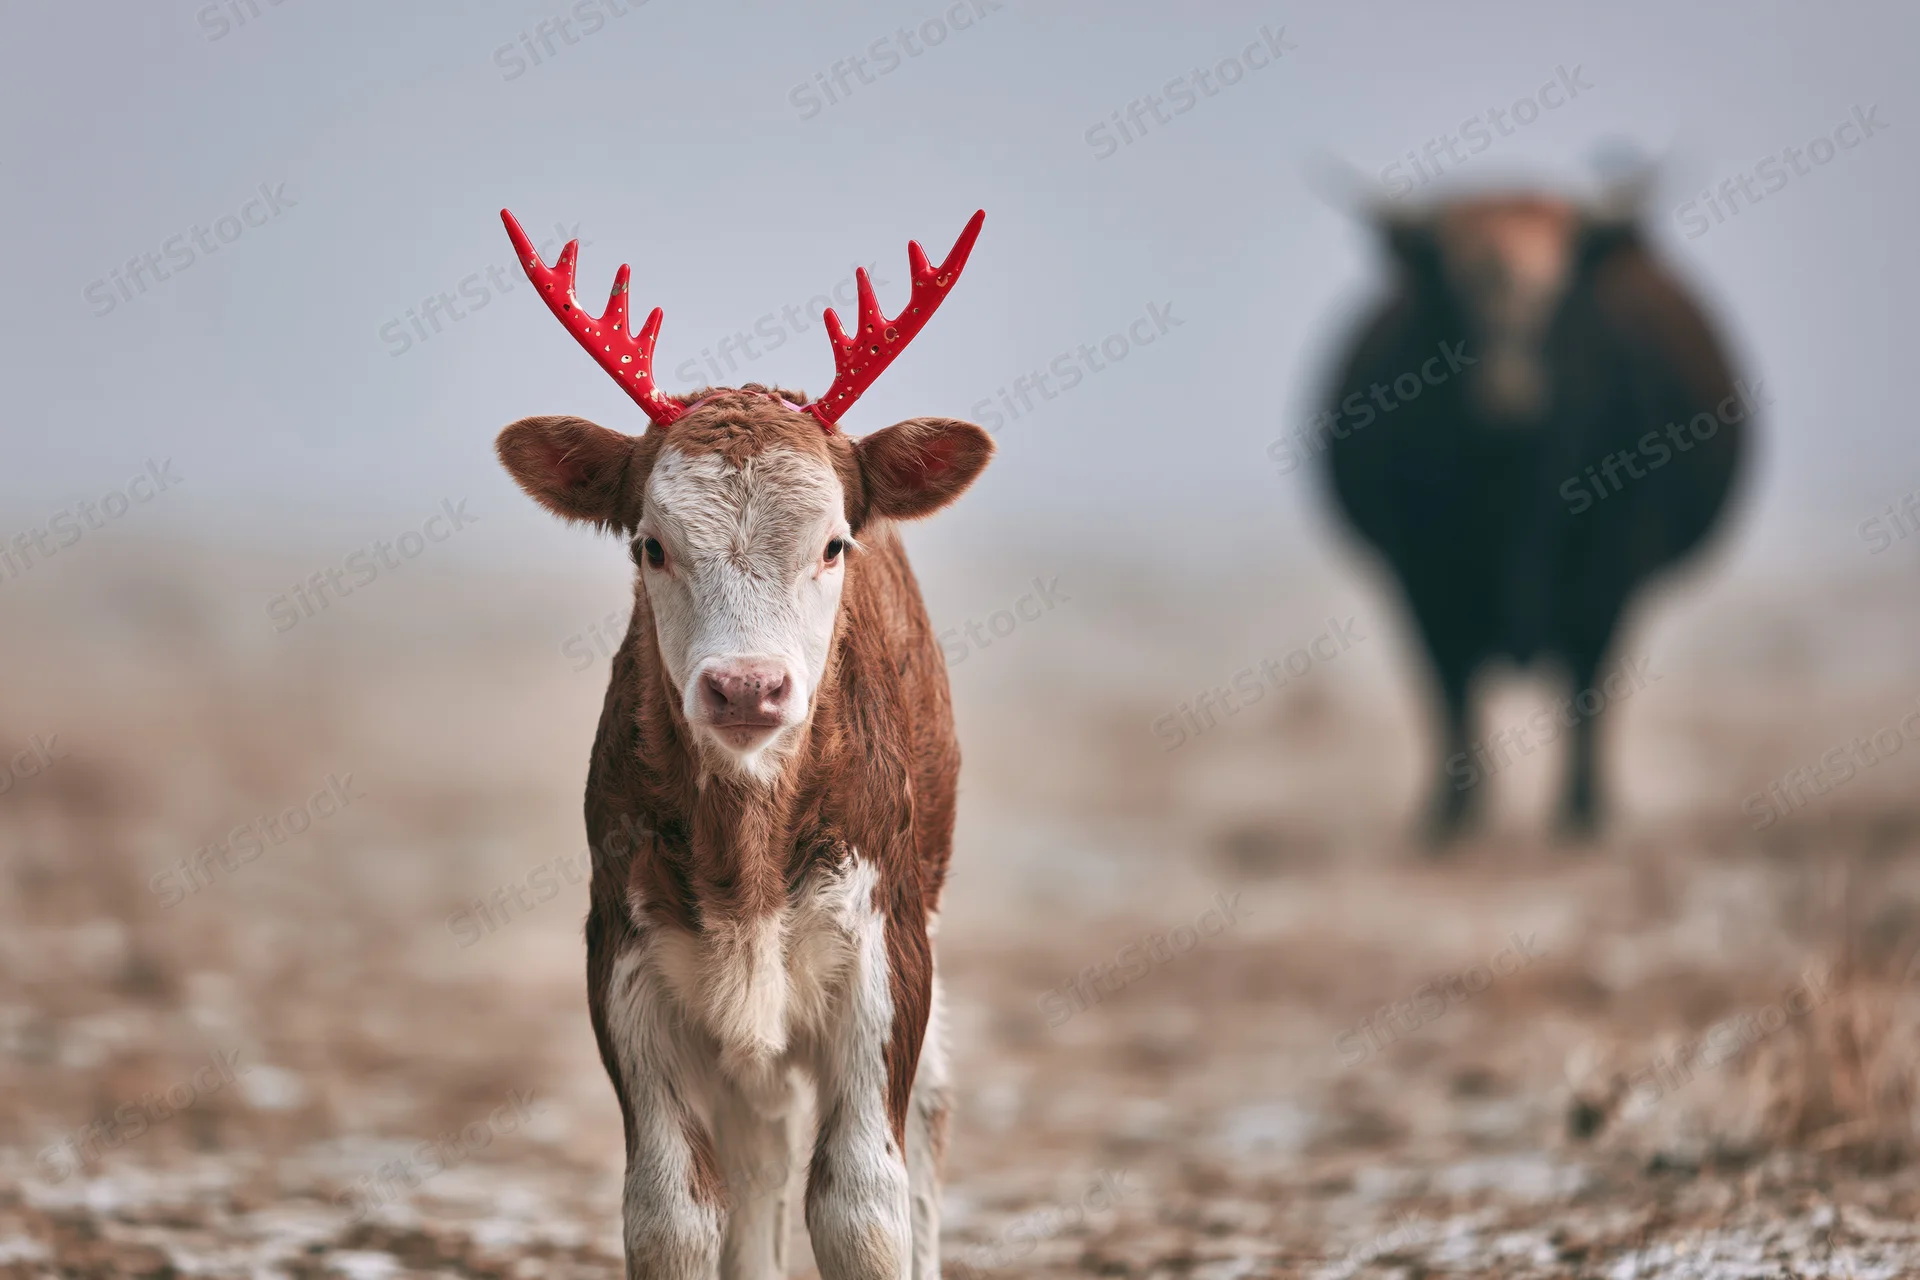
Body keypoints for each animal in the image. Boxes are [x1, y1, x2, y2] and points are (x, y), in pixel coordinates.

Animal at [492, 208, 993, 1278]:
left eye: (833, 542)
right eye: (650, 543)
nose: (747, 687)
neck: (747, 858)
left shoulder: (885, 943)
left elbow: (862, 1203)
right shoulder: (625, 950)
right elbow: (672, 1208)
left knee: (927, 1112)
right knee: (760, 1151)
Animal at [1313, 183, 1748, 841]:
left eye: (1560, 294)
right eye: (1454, 292)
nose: (1508, 391)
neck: (1514, 495)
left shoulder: (1609, 578)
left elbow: (1589, 689)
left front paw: (1583, 812)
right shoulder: (1420, 579)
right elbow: (1450, 690)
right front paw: (1451, 815)